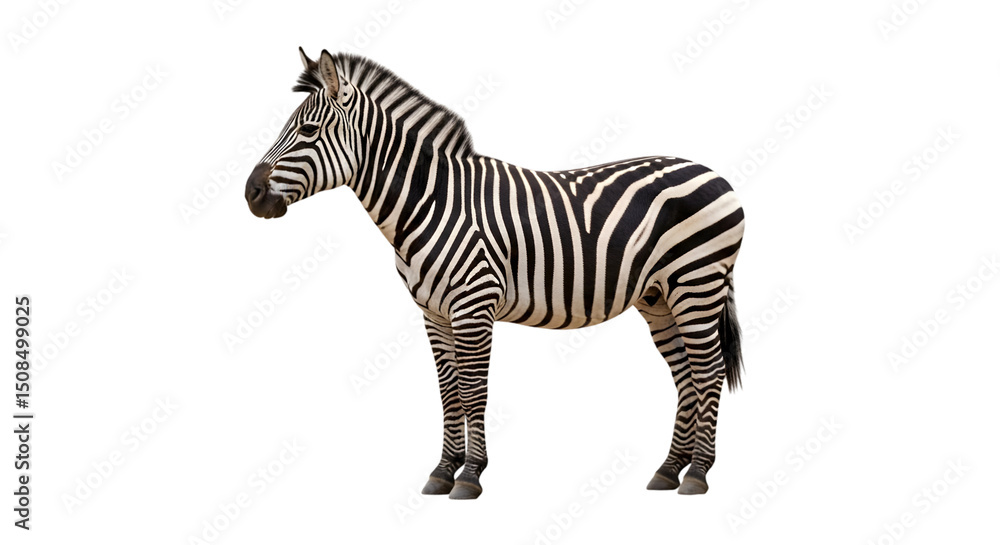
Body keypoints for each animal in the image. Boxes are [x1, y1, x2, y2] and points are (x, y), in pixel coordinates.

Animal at [245, 49, 746, 499]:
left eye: (308, 130)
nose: (250, 193)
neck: (431, 203)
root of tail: (715, 174)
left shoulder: (473, 304)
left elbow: (473, 390)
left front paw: (470, 476)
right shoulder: (433, 313)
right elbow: (448, 392)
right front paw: (442, 472)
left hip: (696, 284)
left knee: (709, 371)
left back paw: (698, 474)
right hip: (660, 298)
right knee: (686, 376)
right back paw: (669, 470)